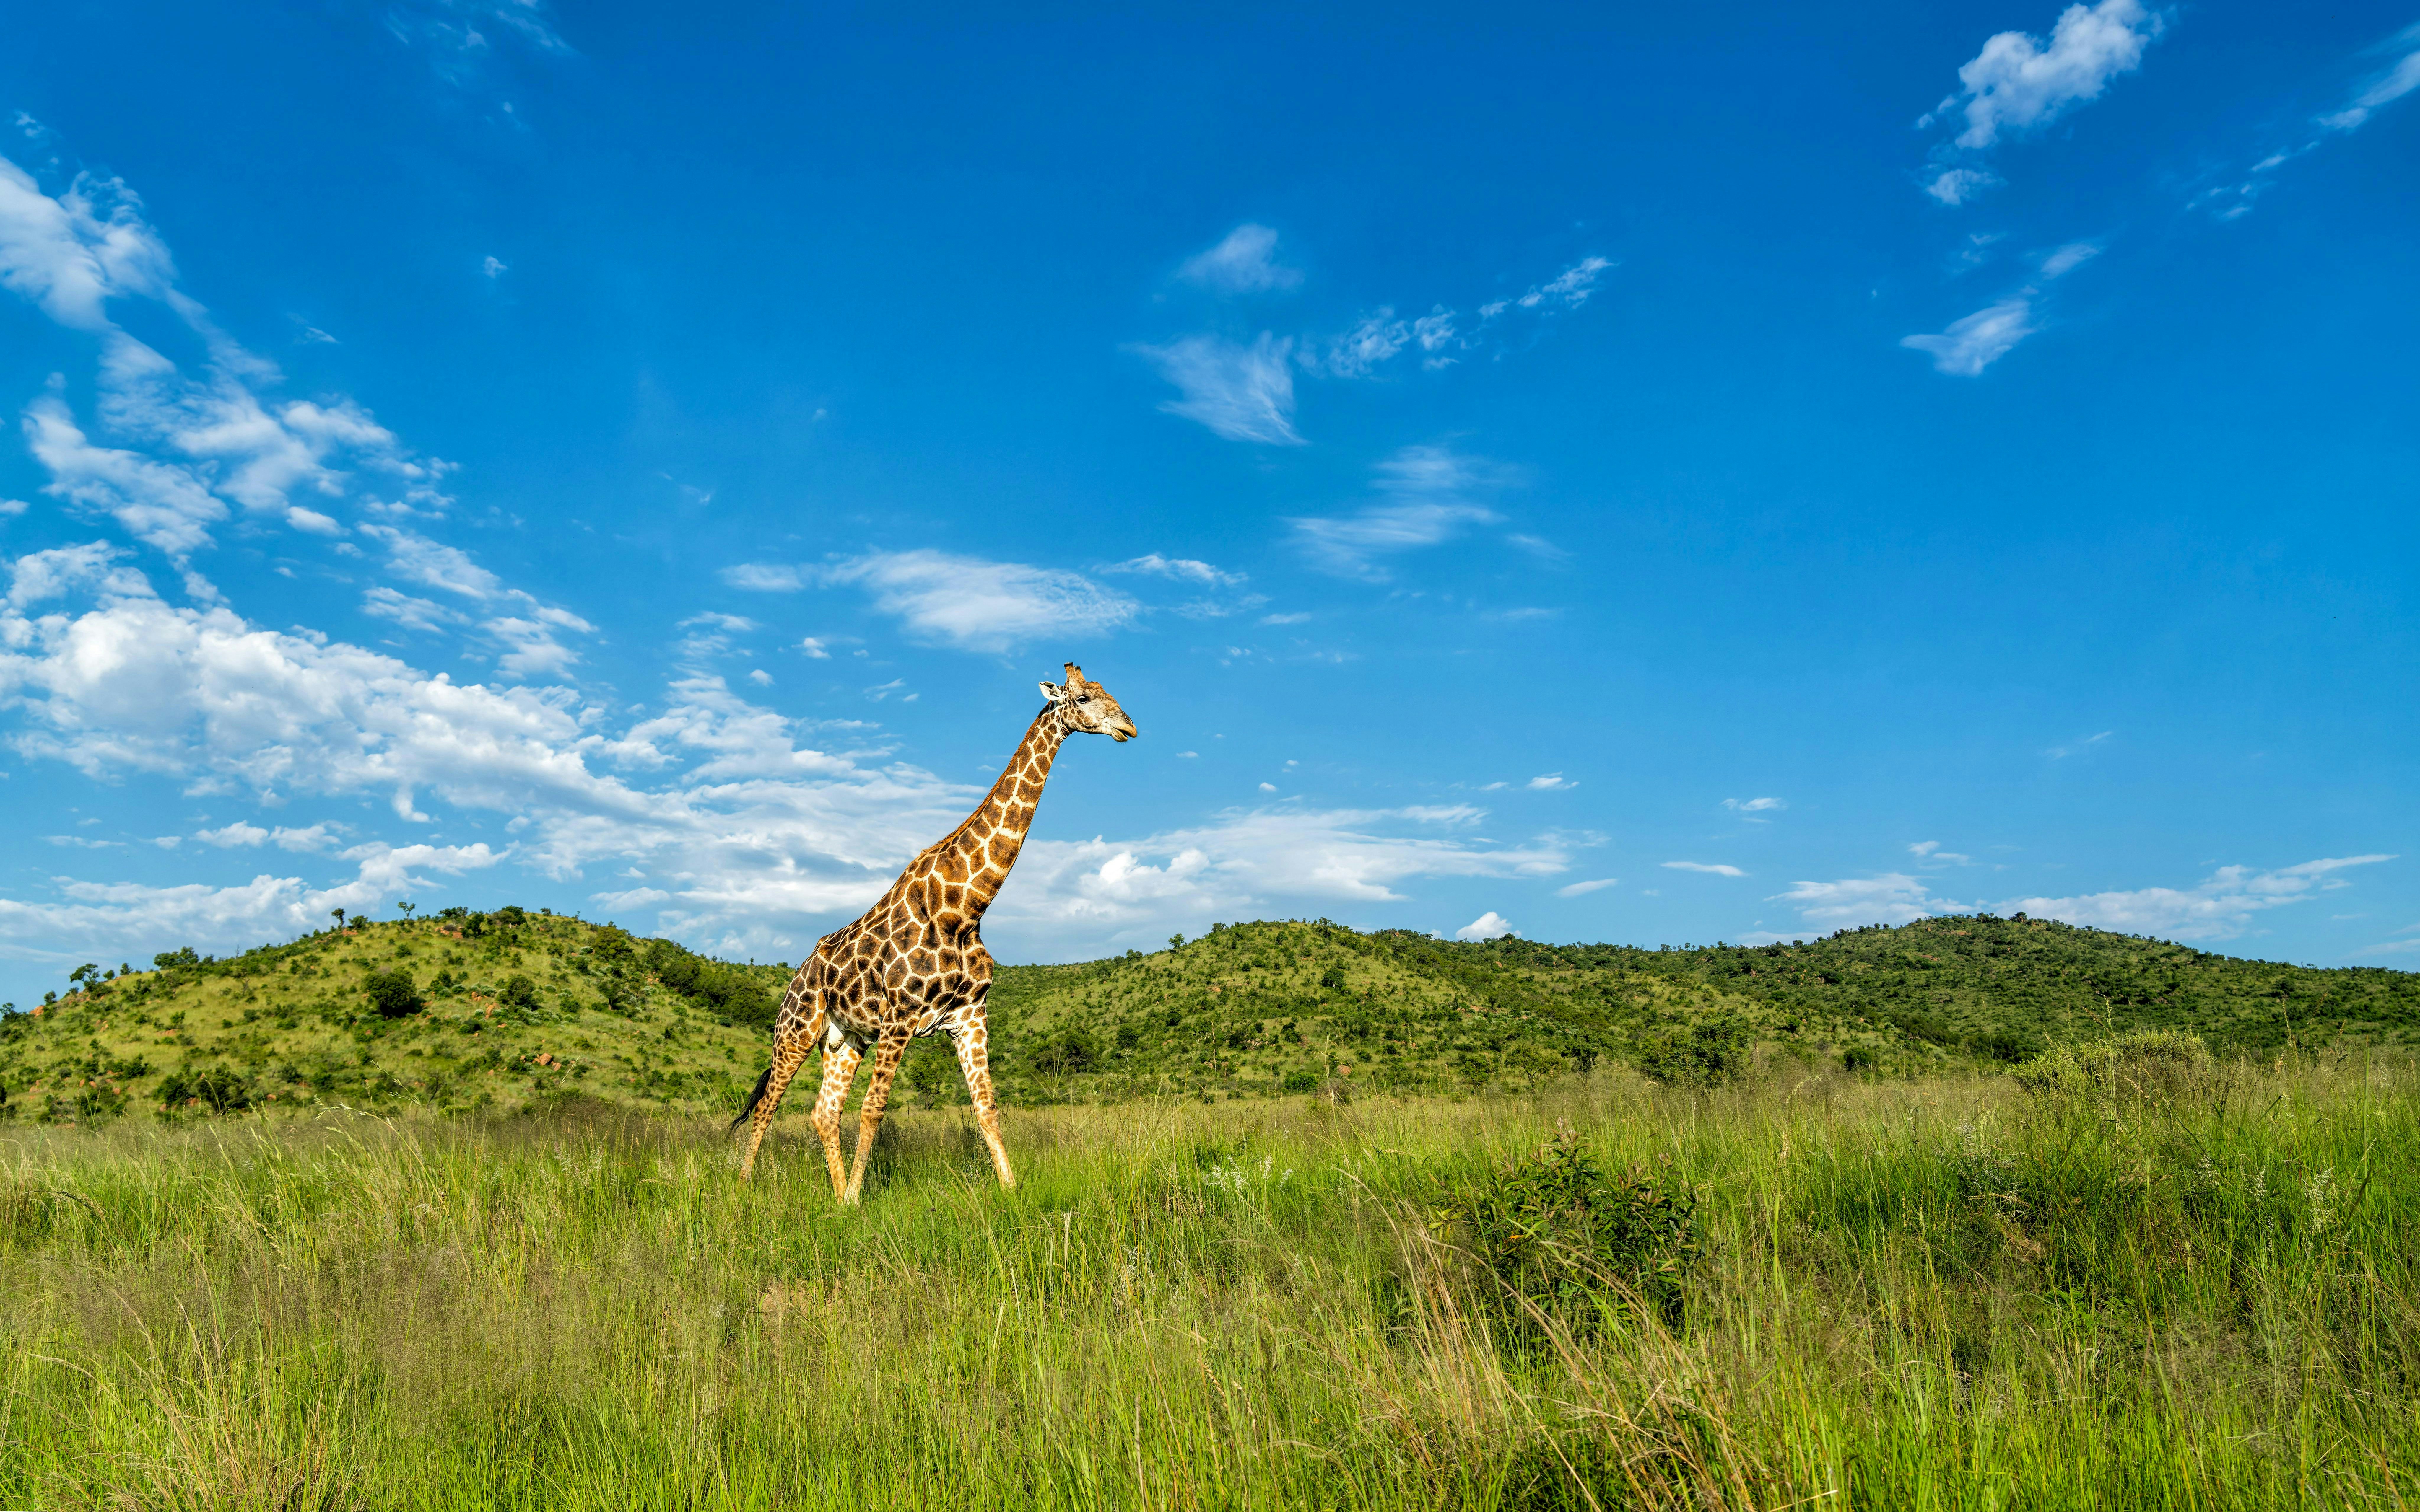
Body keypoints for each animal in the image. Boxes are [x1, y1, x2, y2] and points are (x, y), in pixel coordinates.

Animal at [732, 662, 1138, 1202]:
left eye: (1109, 691)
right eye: (1086, 697)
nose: (1129, 727)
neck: (965, 907)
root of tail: (796, 978)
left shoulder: (970, 1016)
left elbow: (987, 1108)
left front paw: (1011, 1192)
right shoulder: (900, 1017)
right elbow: (875, 1111)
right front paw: (859, 1201)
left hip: (844, 1040)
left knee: (823, 1113)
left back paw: (834, 1198)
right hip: (796, 1032)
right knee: (767, 1107)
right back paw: (744, 1188)